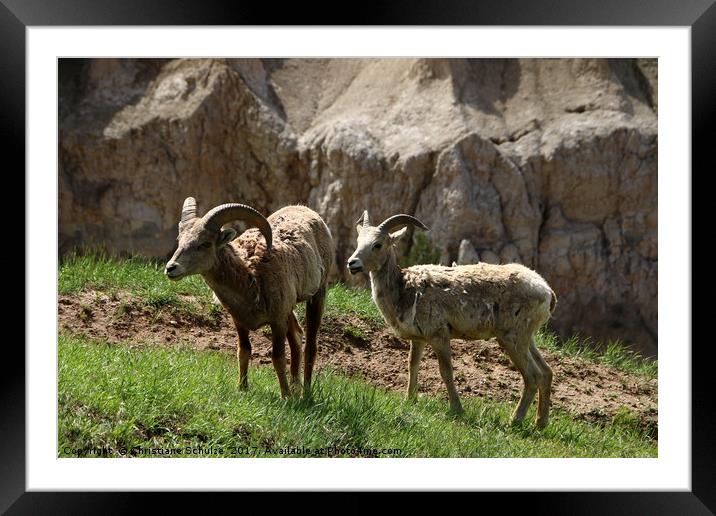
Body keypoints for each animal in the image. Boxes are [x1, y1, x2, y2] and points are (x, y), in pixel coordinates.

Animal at [166, 197, 334, 396]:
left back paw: (305, 393)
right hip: (289, 309)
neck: (250, 277)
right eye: (179, 240)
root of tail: (307, 211)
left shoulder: (277, 321)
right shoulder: (240, 321)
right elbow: (244, 351)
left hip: (318, 294)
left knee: (310, 346)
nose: (171, 268)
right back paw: (295, 386)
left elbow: (277, 357)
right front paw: (242, 388)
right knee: (296, 337)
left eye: (204, 243)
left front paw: (285, 396)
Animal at [346, 210, 552, 428]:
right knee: (547, 372)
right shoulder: (418, 339)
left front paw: (457, 410)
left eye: (377, 244)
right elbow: (412, 365)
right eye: (358, 241)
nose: (352, 263)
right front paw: (409, 399)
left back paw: (514, 420)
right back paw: (540, 423)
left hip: (512, 338)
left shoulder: (439, 336)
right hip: (526, 338)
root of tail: (547, 292)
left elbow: (446, 372)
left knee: (533, 376)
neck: (404, 291)